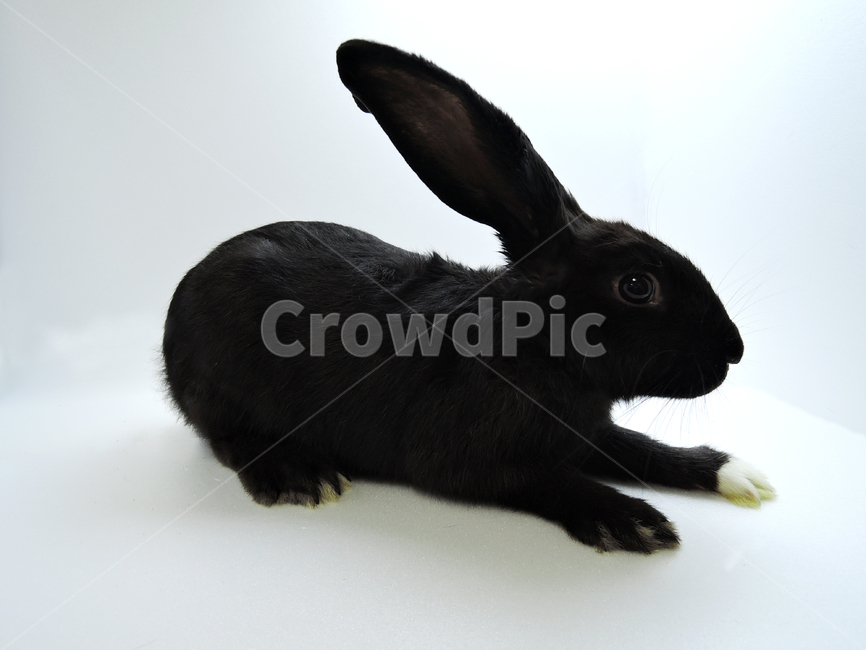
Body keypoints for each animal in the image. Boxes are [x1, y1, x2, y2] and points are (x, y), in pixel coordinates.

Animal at [162, 39, 775, 553]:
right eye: (637, 285)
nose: (735, 349)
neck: (535, 344)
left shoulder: (591, 433)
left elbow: (639, 447)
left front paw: (739, 474)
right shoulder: (474, 461)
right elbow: (549, 481)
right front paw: (631, 520)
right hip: (221, 386)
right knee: (226, 437)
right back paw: (301, 476)